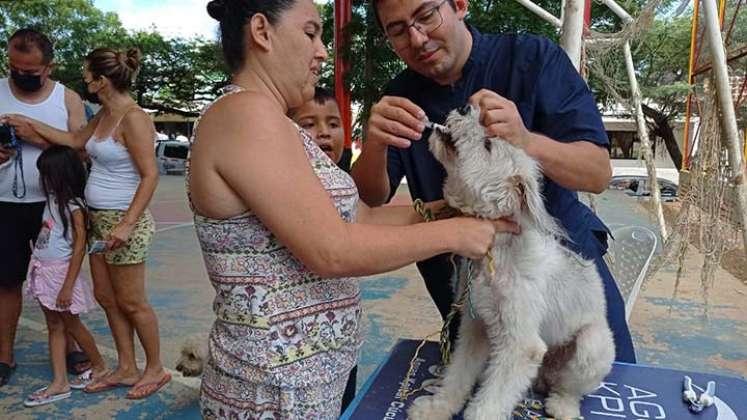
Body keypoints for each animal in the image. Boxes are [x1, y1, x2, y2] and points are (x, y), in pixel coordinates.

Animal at [410, 106, 612, 420]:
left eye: (488, 145)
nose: (465, 107)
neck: (496, 253)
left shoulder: (520, 346)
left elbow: (490, 402)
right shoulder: (475, 328)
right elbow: (457, 377)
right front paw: (436, 407)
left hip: (591, 347)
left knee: (570, 388)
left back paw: (562, 406)